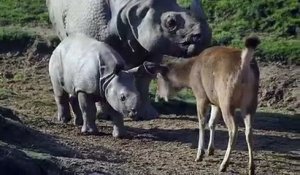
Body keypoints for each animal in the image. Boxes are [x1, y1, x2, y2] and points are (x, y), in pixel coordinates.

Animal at [157, 36, 260, 174]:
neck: (190, 73)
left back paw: (223, 165)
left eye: (158, 78)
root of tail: (244, 64)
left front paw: (199, 155)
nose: (159, 95)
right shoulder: (215, 101)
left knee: (234, 129)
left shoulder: (201, 96)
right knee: (249, 130)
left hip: (227, 101)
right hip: (250, 103)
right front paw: (210, 150)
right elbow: (212, 122)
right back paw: (251, 168)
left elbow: (202, 123)